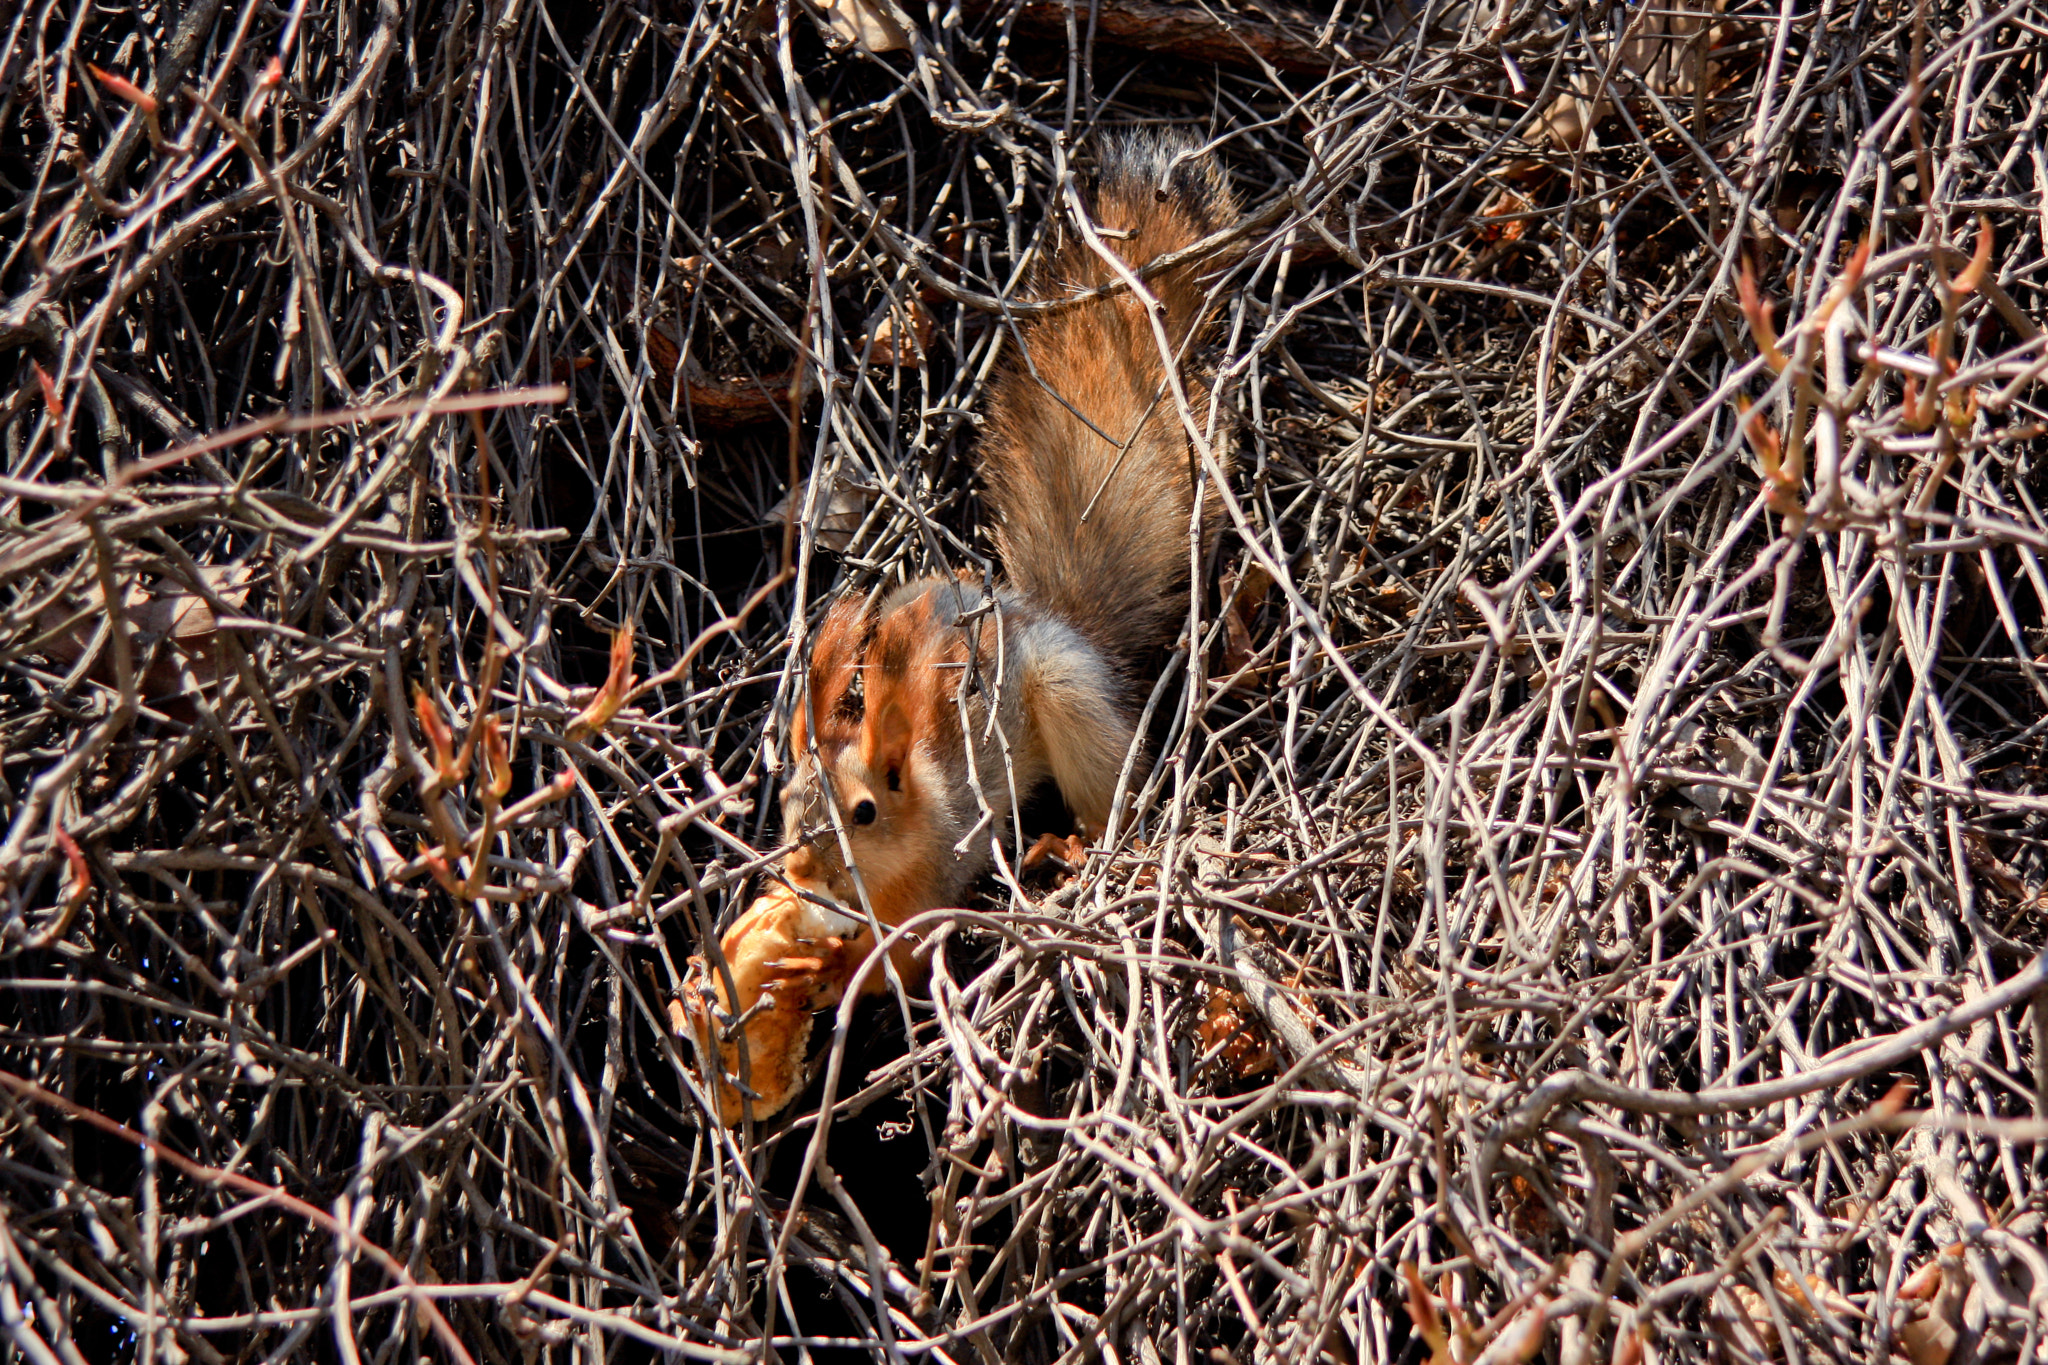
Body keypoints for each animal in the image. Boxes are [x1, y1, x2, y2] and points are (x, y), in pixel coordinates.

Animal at [683, 131, 1238, 1124]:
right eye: (787, 800)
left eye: (868, 809)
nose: (811, 873)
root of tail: (1060, 621)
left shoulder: (935, 889)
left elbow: (895, 966)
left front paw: (820, 970)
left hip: (1073, 709)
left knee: (1113, 793)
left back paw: (1077, 848)